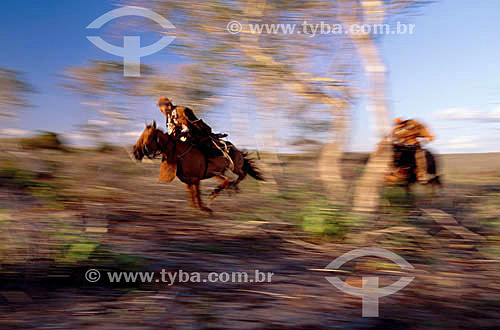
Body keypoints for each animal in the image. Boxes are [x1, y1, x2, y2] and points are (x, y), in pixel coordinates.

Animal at [133, 122, 266, 213]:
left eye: (148, 137)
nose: (136, 152)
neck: (181, 154)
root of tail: (236, 149)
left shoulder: (197, 179)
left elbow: (197, 193)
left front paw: (205, 206)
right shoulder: (189, 180)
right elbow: (192, 194)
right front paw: (196, 207)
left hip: (234, 167)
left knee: (242, 174)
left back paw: (229, 187)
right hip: (220, 171)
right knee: (233, 178)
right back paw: (231, 187)